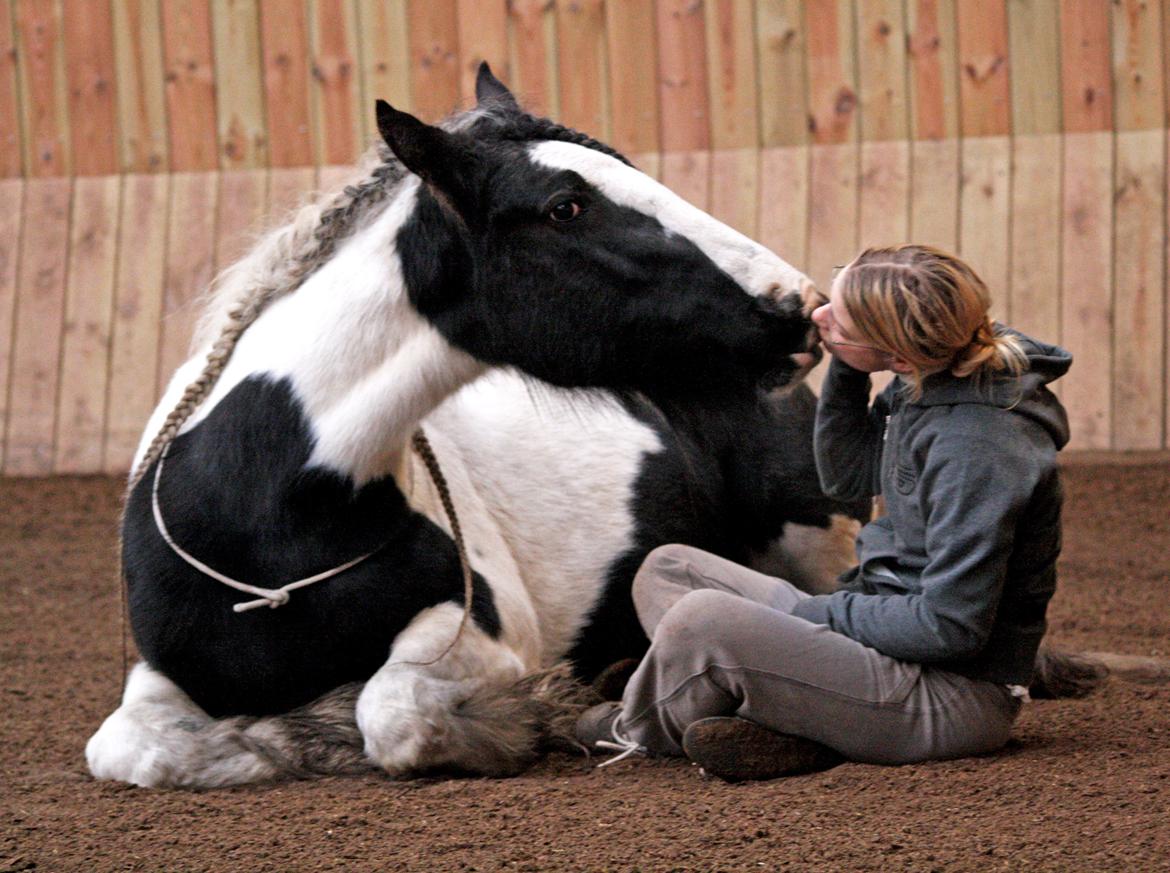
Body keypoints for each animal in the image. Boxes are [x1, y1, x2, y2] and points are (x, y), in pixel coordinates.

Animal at [86, 67, 865, 786]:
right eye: (565, 206)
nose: (797, 306)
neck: (267, 524)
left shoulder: (482, 633)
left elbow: (392, 712)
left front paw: (529, 713)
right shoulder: (160, 671)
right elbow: (132, 747)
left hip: (816, 547)